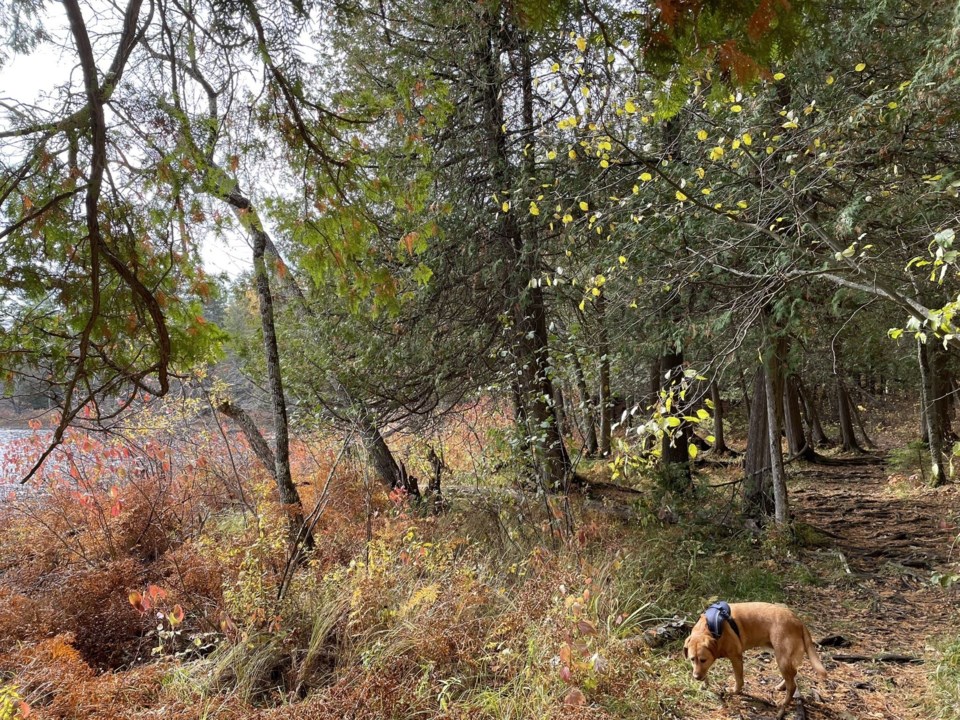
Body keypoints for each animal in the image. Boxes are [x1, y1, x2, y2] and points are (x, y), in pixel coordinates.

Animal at [684, 600, 824, 716]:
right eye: (692, 659)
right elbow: (706, 674)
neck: (711, 627)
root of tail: (798, 621)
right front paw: (705, 685)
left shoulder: (736, 657)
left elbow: (739, 680)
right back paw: (780, 686)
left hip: (782, 659)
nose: (696, 677)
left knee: (793, 685)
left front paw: (734, 691)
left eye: (703, 660)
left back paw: (783, 704)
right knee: (793, 674)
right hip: (785, 659)